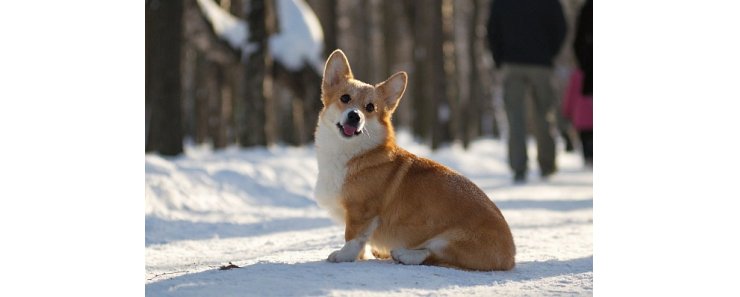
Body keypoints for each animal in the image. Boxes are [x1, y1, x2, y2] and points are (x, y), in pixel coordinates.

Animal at [314, 49, 516, 270]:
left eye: (370, 107)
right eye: (345, 98)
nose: (355, 116)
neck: (351, 152)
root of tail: (511, 255)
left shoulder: (362, 212)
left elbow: (353, 237)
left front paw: (344, 256)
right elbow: (362, 242)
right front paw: (360, 256)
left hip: (450, 240)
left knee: (432, 255)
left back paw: (404, 254)